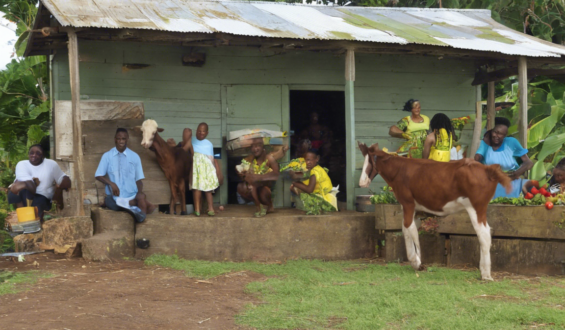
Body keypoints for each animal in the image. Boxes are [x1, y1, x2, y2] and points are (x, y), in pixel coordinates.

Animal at [356, 142, 512, 282]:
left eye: (369, 162)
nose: (361, 182)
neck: (399, 170)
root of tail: (488, 169)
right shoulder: (415, 209)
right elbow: (407, 231)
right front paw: (416, 262)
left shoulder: (407, 203)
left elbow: (410, 231)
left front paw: (417, 263)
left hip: (476, 207)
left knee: (484, 234)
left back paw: (485, 274)